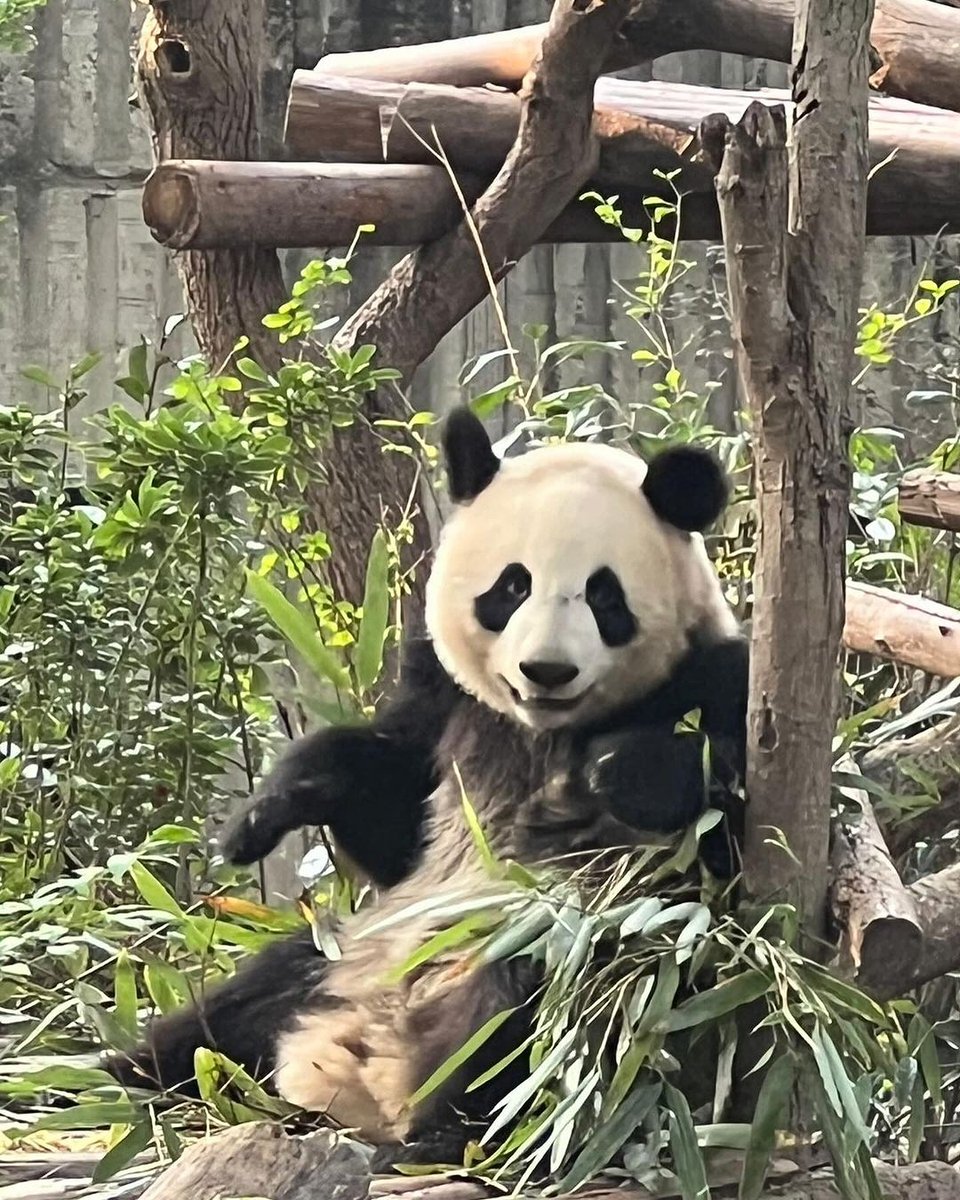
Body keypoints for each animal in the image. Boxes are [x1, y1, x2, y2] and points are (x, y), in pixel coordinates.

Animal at [106, 408, 748, 1166]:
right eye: (512, 587)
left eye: (603, 595)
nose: (547, 670)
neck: (544, 729)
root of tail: (359, 1059)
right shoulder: (445, 702)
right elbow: (387, 805)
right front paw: (261, 815)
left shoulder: (716, 683)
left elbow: (724, 839)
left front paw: (616, 771)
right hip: (345, 951)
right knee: (240, 1003)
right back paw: (120, 1076)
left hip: (536, 958)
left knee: (514, 1019)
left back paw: (440, 1128)